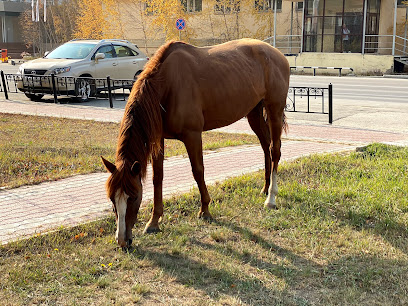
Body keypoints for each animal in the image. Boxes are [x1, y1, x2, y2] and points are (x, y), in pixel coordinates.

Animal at [103, 38, 292, 249]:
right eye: (112, 198)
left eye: (134, 196)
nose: (122, 240)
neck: (166, 85)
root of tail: (277, 54)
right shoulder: (158, 139)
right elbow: (157, 177)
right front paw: (154, 221)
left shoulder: (192, 135)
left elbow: (198, 171)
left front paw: (205, 210)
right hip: (254, 112)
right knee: (266, 147)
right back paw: (265, 188)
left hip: (274, 109)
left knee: (275, 150)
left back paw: (271, 198)